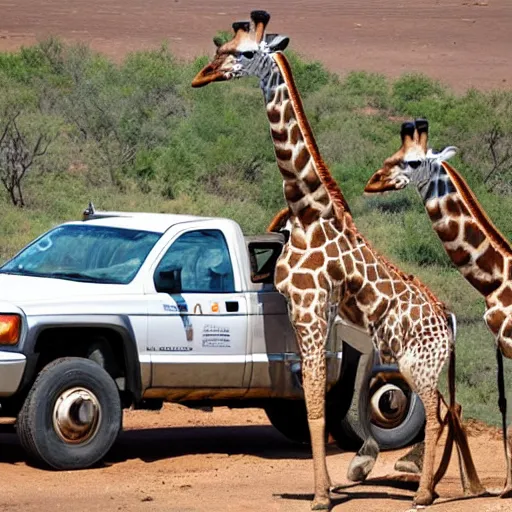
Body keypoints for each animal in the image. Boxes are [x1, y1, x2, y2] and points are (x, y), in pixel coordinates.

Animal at [191, 13, 484, 508]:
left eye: (245, 53)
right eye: (220, 47)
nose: (202, 76)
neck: (308, 210)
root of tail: (449, 321)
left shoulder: (309, 307)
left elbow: (315, 404)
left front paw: (321, 496)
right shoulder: (308, 313)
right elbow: (316, 400)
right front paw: (332, 483)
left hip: (418, 363)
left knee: (437, 411)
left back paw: (425, 493)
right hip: (415, 361)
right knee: (447, 408)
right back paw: (457, 484)